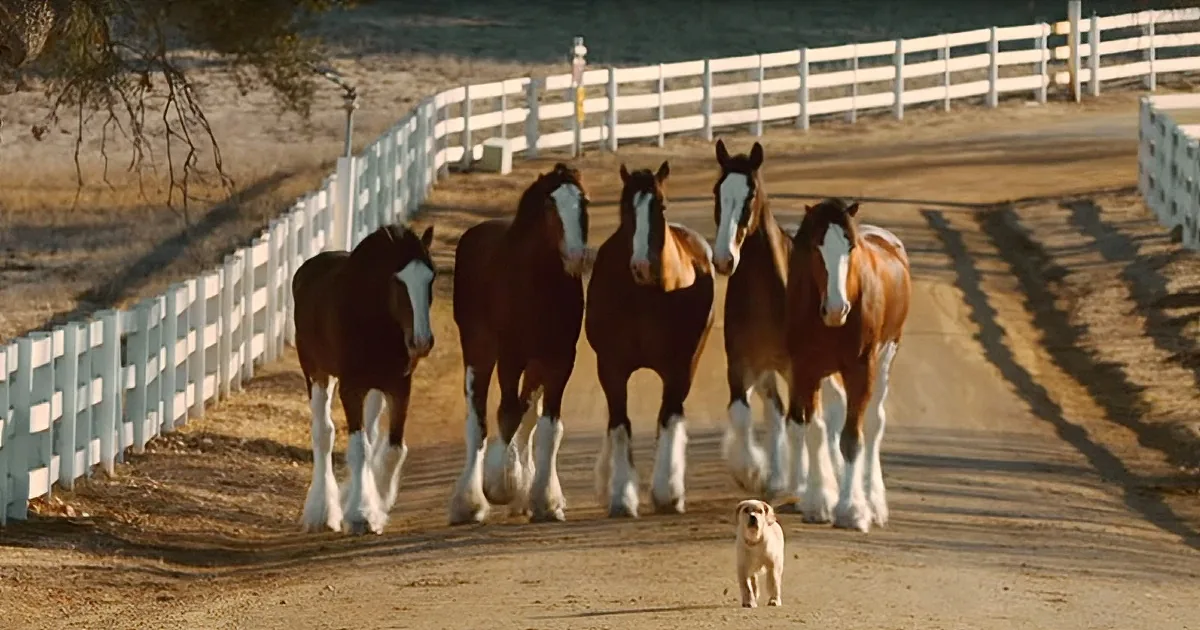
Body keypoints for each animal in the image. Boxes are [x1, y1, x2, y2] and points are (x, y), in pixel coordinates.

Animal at [292, 223, 437, 536]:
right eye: (398, 281)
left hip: (374, 389)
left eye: (431, 278)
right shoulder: (351, 387)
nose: (421, 341)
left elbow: (392, 449)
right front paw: (360, 514)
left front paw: (377, 506)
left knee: (369, 433)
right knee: (324, 433)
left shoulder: (398, 386)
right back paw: (321, 512)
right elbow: (359, 448)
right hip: (317, 374)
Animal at [447, 162, 593, 525]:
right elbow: (507, 415)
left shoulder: (559, 360)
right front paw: (500, 484)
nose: (576, 256)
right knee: (478, 419)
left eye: (584, 202)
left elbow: (547, 429)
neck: (537, 284)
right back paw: (469, 502)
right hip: (480, 353)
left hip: (535, 365)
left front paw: (546, 501)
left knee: (526, 417)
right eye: (550, 206)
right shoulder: (510, 357)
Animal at [586, 161, 716, 517]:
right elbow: (619, 424)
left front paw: (667, 494)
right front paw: (620, 495)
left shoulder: (679, 368)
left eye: (661, 205)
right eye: (625, 209)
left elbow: (668, 419)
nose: (642, 266)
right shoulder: (611, 367)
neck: (645, 297)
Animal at [709, 138, 847, 503]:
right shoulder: (740, 364)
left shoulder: (799, 369)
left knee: (824, 414)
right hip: (768, 372)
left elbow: (801, 422)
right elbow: (742, 414)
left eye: (750, 195)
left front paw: (800, 483)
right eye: (717, 192)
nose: (723, 259)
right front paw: (753, 474)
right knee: (776, 412)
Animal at [783, 197, 911, 532]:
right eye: (816, 246)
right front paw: (819, 502)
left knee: (874, 422)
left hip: (886, 358)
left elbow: (853, 438)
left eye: (850, 247)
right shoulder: (806, 370)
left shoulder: (860, 370)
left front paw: (852, 510)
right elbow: (815, 430)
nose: (837, 308)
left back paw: (874, 501)